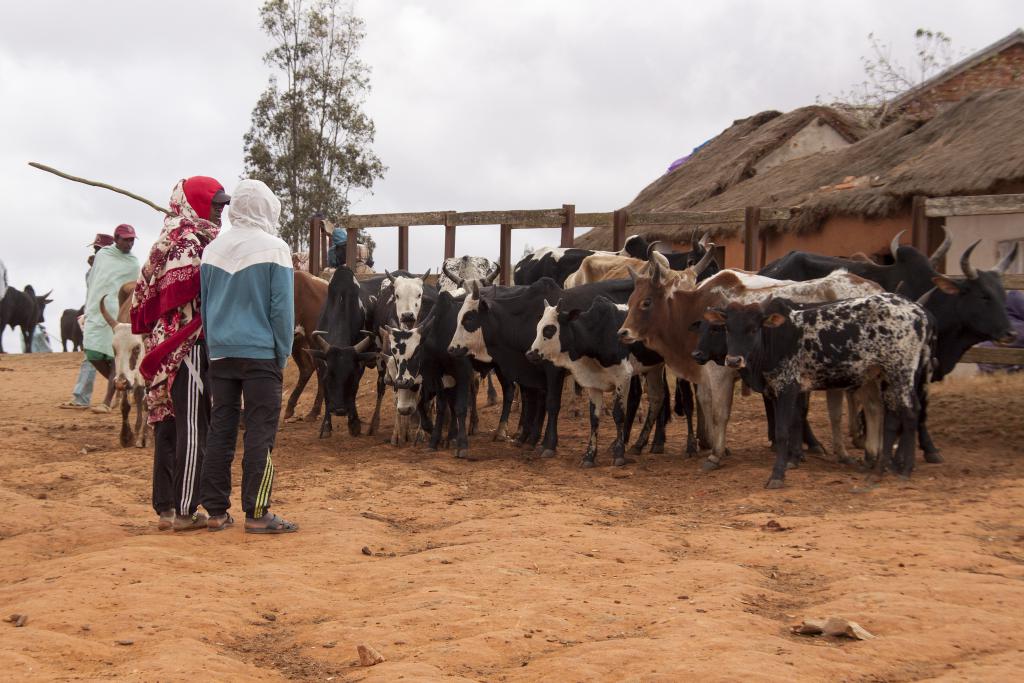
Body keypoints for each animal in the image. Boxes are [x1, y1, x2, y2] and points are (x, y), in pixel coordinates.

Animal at [708, 294, 933, 491]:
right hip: (885, 375)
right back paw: (880, 470)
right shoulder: (776, 391)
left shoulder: (787, 387)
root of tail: (916, 309)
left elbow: (782, 432)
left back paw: (905, 469)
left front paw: (777, 475)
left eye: (753, 329)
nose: (733, 360)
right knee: (893, 416)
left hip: (901, 372)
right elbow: (792, 424)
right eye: (727, 328)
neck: (776, 339)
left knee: (910, 412)